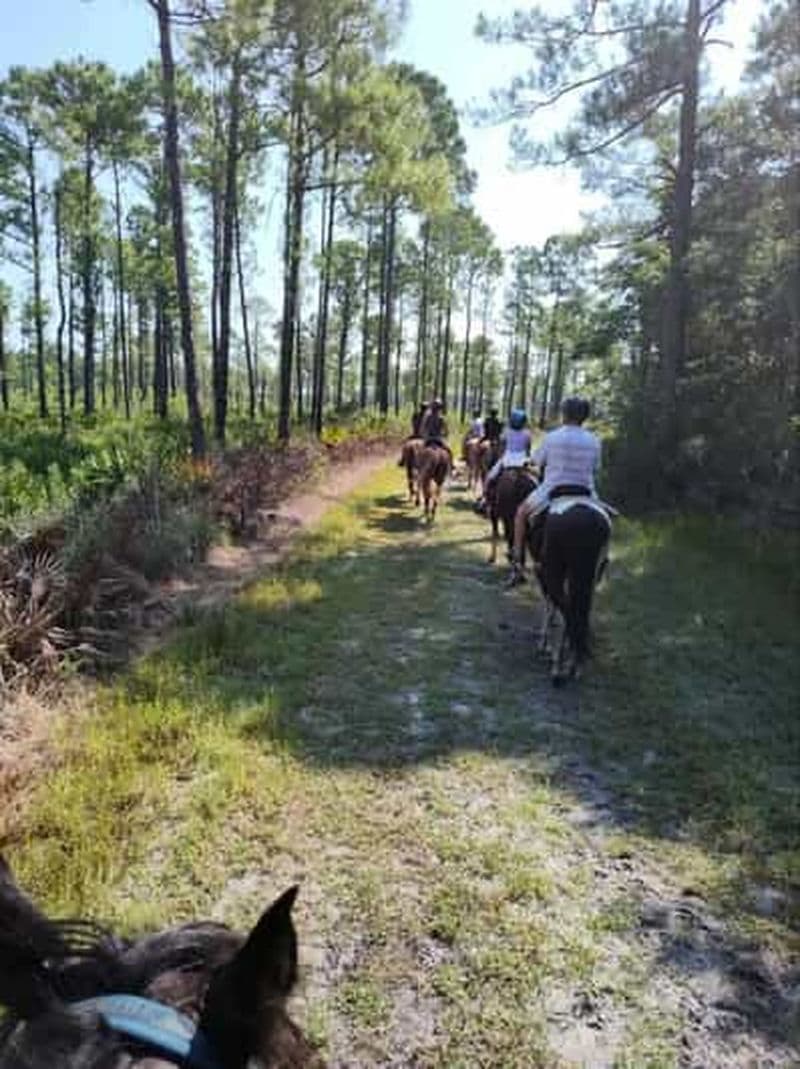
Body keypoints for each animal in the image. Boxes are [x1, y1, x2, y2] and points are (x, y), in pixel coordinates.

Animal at [529, 499, 611, 685]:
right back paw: (575, 665)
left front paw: (544, 644)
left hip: (556, 572)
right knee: (579, 612)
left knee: (567, 610)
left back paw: (558, 668)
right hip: (589, 577)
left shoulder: (543, 573)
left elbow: (549, 605)